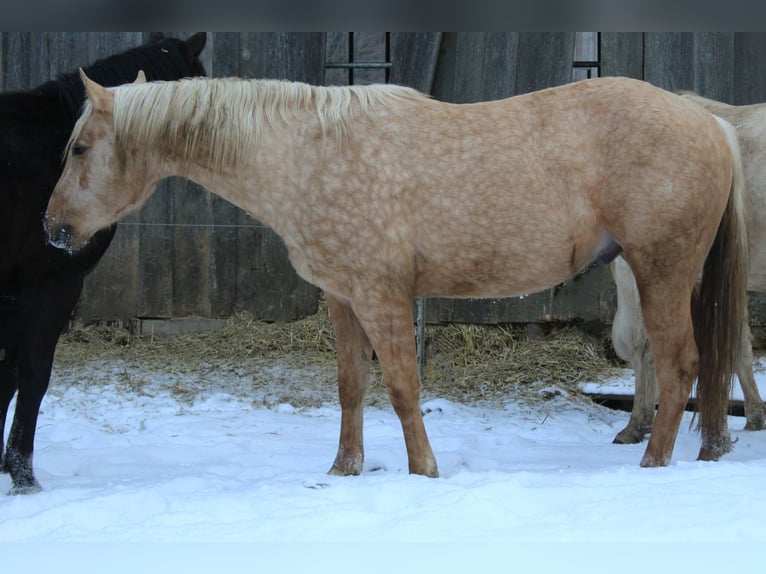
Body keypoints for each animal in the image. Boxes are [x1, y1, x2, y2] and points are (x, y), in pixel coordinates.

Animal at [45, 73, 747, 478]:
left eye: (79, 148)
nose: (52, 230)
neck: (310, 154)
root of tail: (711, 122)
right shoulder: (342, 297)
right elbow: (352, 386)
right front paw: (345, 469)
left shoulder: (382, 296)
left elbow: (404, 388)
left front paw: (425, 472)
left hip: (660, 271)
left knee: (681, 364)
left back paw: (655, 462)